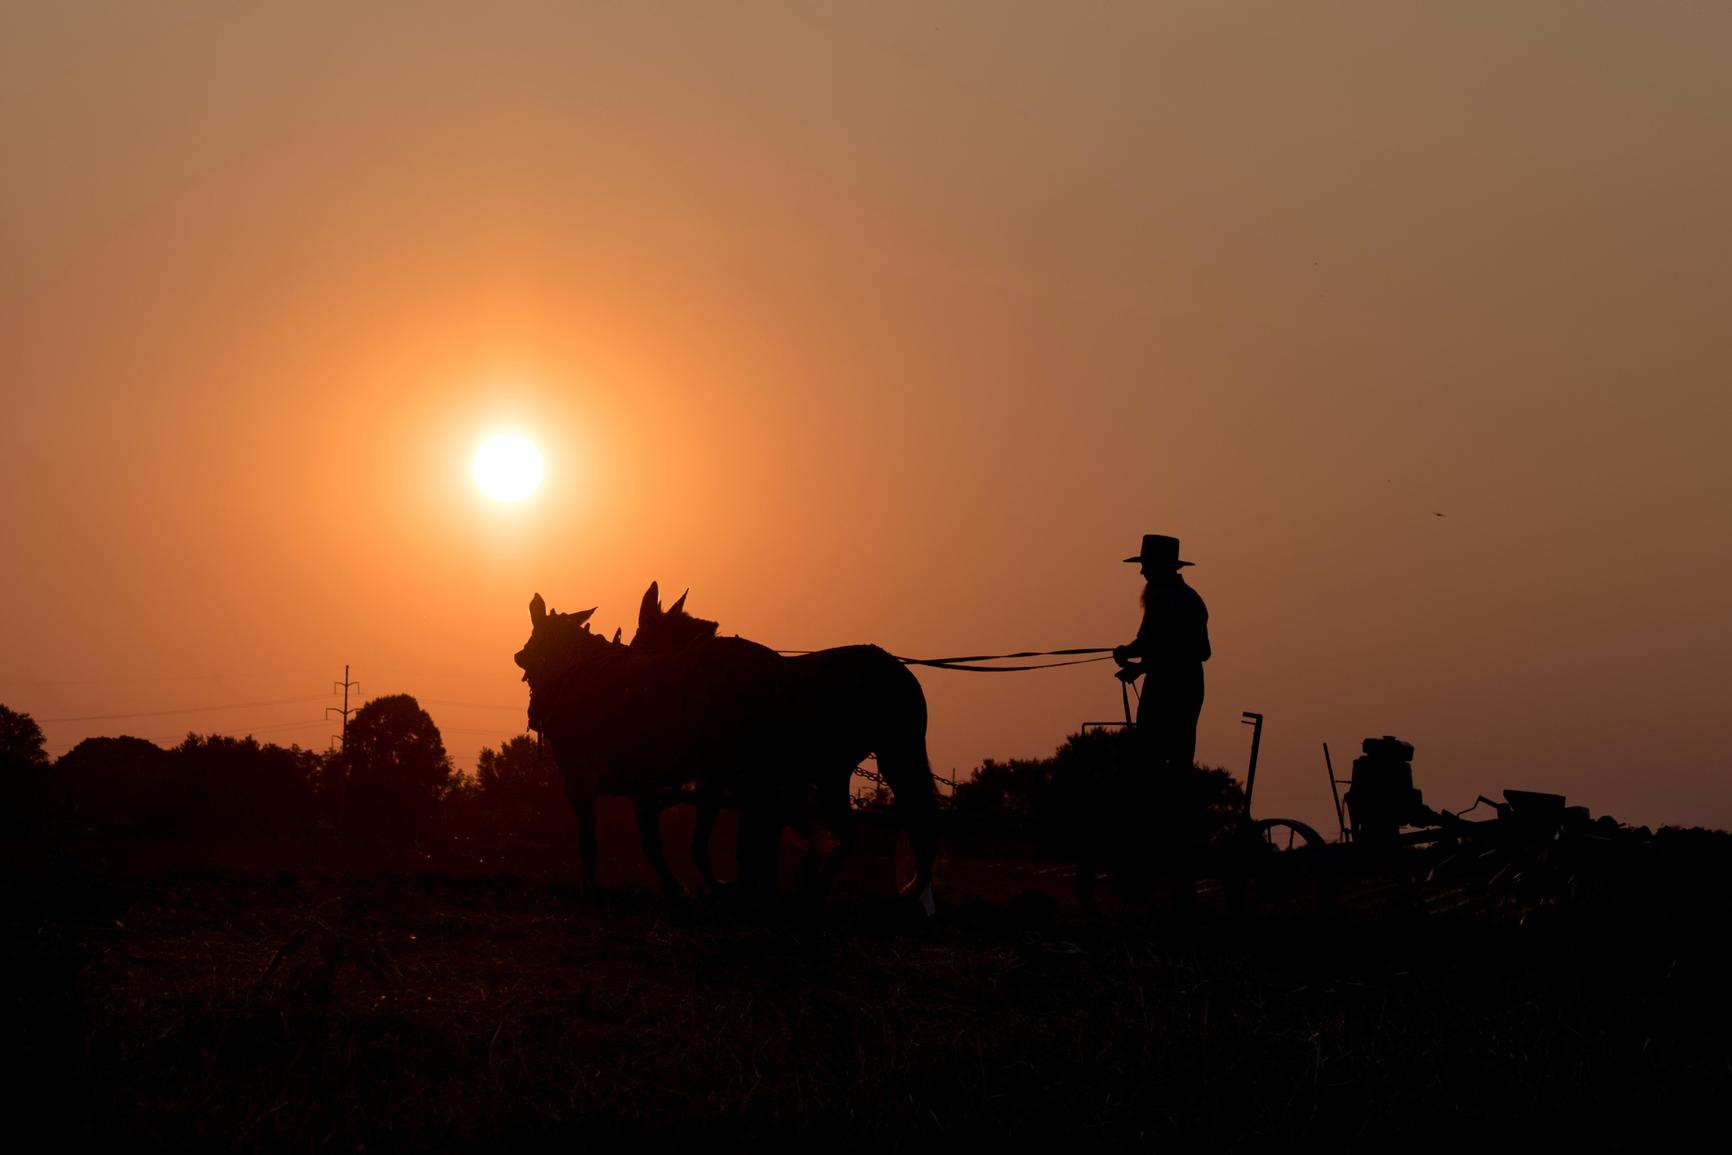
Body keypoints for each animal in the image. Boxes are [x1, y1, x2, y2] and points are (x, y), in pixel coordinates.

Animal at [512, 588, 942, 914]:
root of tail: (898, 669)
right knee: (872, 826)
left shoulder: (598, 784)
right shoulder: (706, 782)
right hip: (847, 767)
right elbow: (711, 841)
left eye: (534, 644)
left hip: (871, 761)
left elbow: (621, 843)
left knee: (897, 823)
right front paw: (725, 888)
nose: (535, 714)